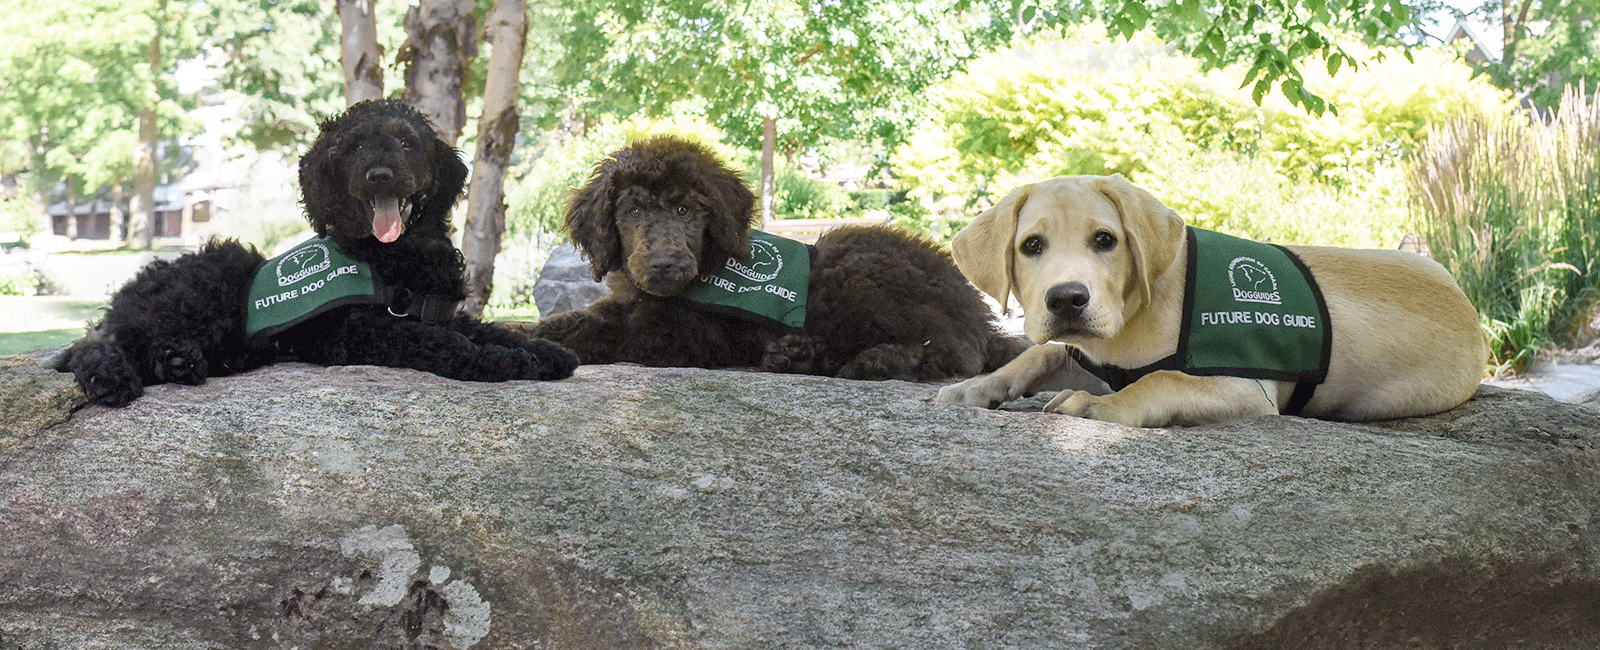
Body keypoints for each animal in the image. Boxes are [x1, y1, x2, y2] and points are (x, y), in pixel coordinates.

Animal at [58, 97, 582, 406]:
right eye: (353, 148)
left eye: (406, 142)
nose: (379, 175)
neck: (392, 258)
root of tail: (127, 296)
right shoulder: (360, 332)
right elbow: (444, 344)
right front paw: (506, 363)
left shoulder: (439, 311)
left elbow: (489, 328)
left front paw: (545, 349)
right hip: (200, 294)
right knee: (99, 347)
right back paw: (116, 376)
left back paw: (177, 363)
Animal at [524, 136, 1024, 381]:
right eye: (631, 212)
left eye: (686, 211)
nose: (665, 264)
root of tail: (975, 310)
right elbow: (581, 317)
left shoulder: (687, 335)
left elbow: (601, 329)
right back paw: (795, 354)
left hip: (857, 267)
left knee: (952, 352)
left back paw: (861, 361)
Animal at [934, 175, 1484, 425]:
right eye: (1031, 246)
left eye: (1105, 240)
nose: (1067, 299)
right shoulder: (1093, 353)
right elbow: (1044, 351)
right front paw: (977, 385)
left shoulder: (1244, 388)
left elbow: (1161, 380)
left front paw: (1094, 405)